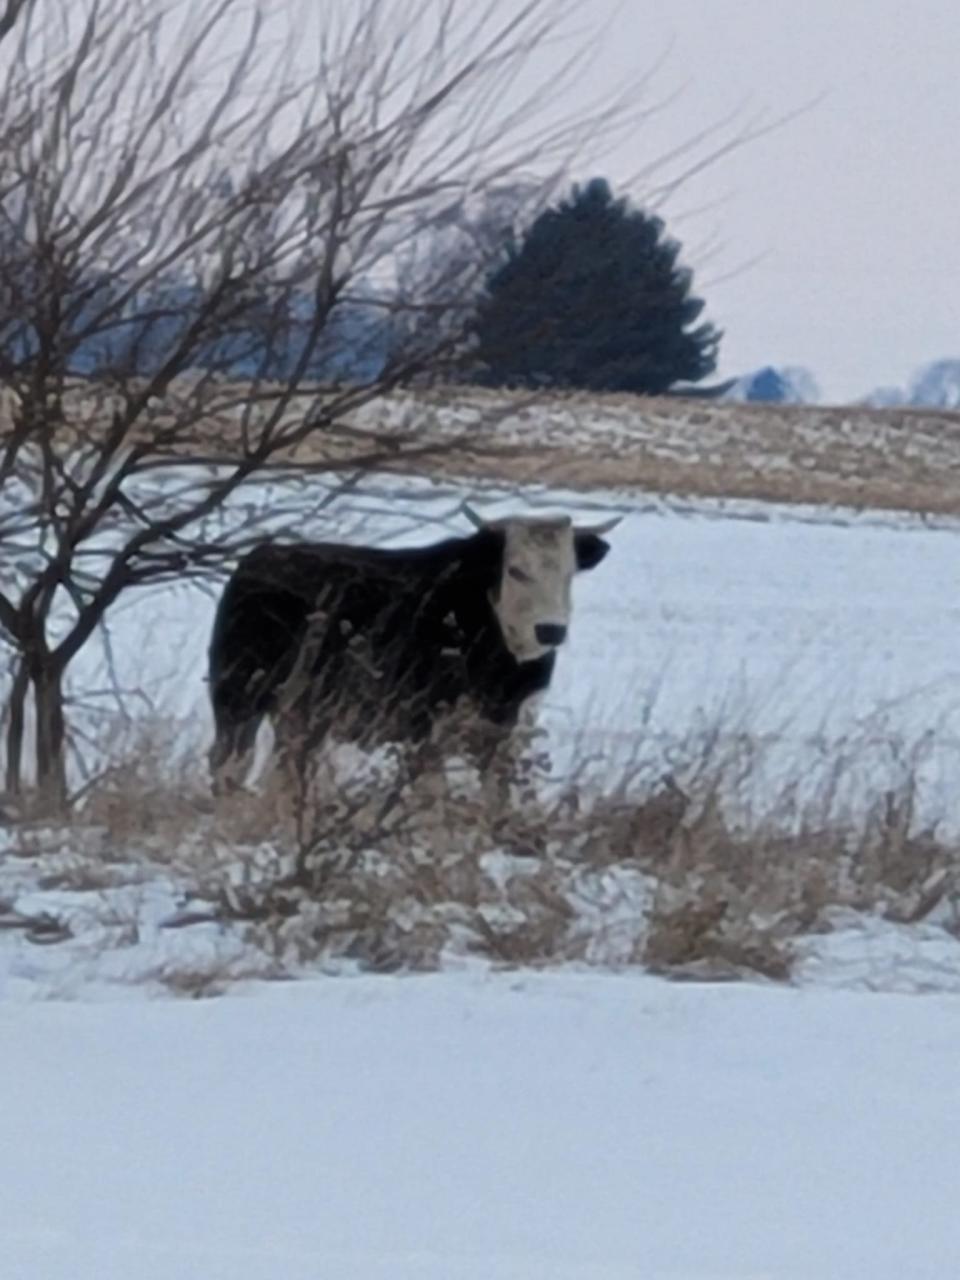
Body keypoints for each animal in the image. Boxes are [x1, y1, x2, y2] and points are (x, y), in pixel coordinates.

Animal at [206, 506, 619, 788]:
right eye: (515, 570)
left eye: (569, 573)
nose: (550, 630)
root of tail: (260, 557)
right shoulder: (423, 727)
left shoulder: (508, 732)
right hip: (239, 696)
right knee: (230, 764)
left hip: (300, 714)